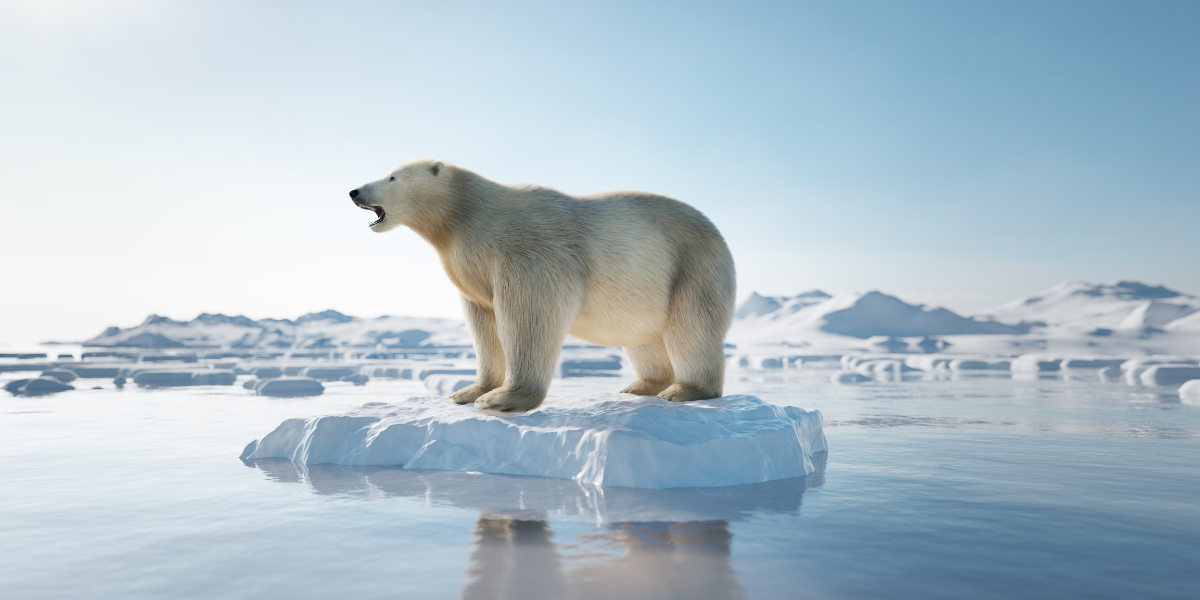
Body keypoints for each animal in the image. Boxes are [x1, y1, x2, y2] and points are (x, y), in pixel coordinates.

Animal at [350, 159, 734, 412]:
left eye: (392, 176)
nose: (354, 191)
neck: (467, 216)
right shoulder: (472, 269)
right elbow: (483, 324)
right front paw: (468, 391)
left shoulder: (529, 249)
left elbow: (529, 314)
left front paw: (502, 399)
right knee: (644, 338)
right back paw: (640, 386)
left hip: (693, 267)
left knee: (691, 328)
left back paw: (684, 390)